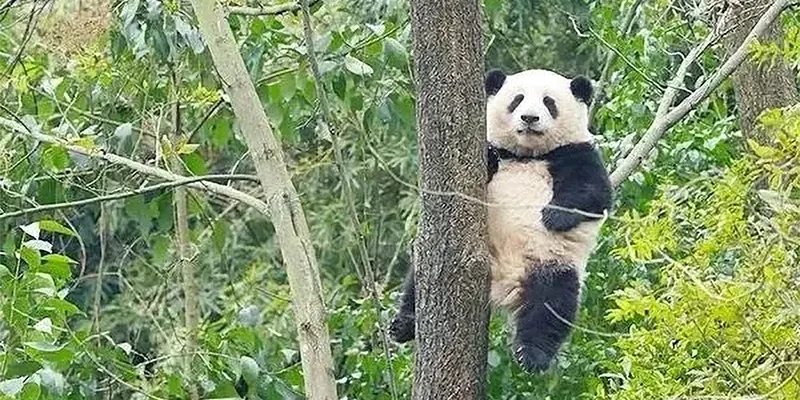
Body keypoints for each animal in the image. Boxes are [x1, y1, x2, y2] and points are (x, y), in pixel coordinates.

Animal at [389, 68, 613, 373]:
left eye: (549, 102)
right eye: (517, 100)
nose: (529, 118)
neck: (526, 155)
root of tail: (505, 281)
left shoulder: (576, 153)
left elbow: (594, 192)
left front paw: (553, 216)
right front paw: (490, 161)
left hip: (552, 263)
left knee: (551, 306)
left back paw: (532, 355)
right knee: (416, 282)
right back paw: (403, 324)